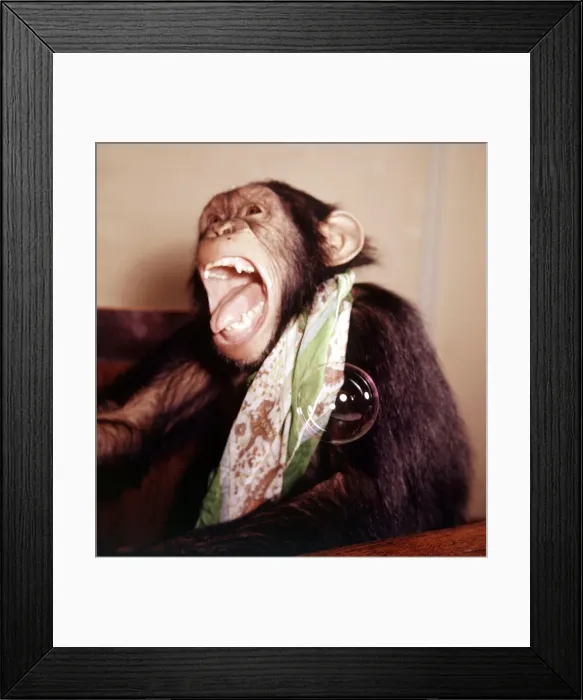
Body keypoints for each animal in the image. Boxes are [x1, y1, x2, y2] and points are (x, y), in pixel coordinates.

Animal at [97, 180, 471, 556]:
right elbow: (126, 422)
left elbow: (373, 495)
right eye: (213, 219)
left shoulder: (386, 330)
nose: (220, 229)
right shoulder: (197, 340)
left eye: (253, 211)